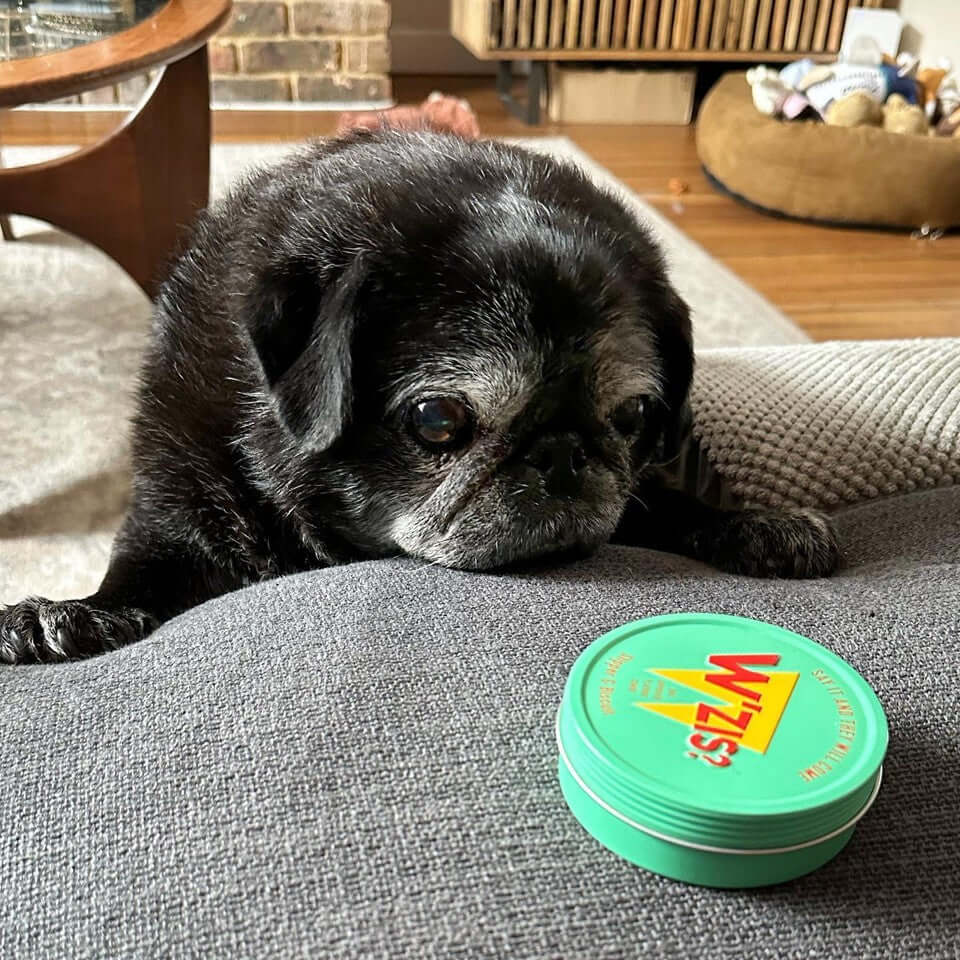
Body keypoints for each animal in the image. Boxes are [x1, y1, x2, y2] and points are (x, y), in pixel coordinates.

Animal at [0, 131, 836, 664]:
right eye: (438, 421)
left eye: (634, 418)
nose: (562, 454)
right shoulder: (177, 512)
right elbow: (138, 575)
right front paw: (70, 614)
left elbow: (665, 504)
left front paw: (748, 523)